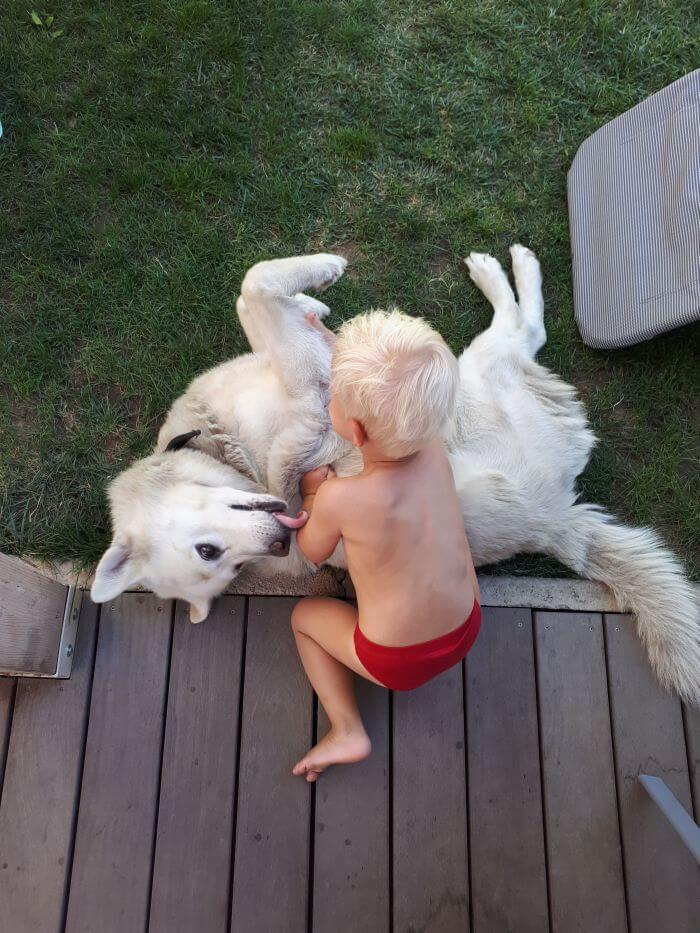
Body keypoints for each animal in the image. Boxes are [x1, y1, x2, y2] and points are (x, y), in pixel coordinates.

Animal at [91, 248, 700, 703]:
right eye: (219, 558)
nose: (283, 539)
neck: (226, 447)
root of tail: (555, 520)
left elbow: (257, 288)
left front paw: (314, 290)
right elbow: (257, 285)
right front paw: (325, 268)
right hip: (469, 372)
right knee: (523, 329)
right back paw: (503, 269)